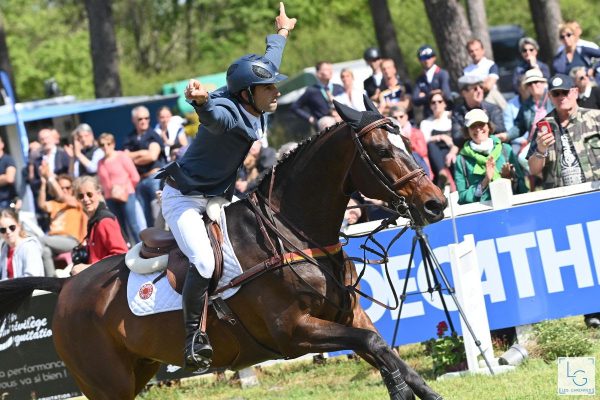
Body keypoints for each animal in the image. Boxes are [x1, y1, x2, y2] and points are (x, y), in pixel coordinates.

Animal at [0, 97, 446, 400]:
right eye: (384, 151)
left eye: (408, 141)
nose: (435, 203)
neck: (293, 233)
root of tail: (66, 287)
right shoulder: (295, 332)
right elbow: (375, 347)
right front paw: (399, 389)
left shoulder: (348, 316)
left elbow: (384, 350)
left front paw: (418, 389)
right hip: (106, 383)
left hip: (137, 369)